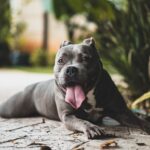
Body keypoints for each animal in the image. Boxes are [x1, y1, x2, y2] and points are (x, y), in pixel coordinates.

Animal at [0, 37, 150, 138]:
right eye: (60, 61)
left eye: (86, 58)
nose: (71, 69)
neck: (88, 95)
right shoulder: (68, 116)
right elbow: (81, 120)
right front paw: (91, 127)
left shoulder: (122, 111)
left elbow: (138, 120)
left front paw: (146, 124)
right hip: (11, 108)